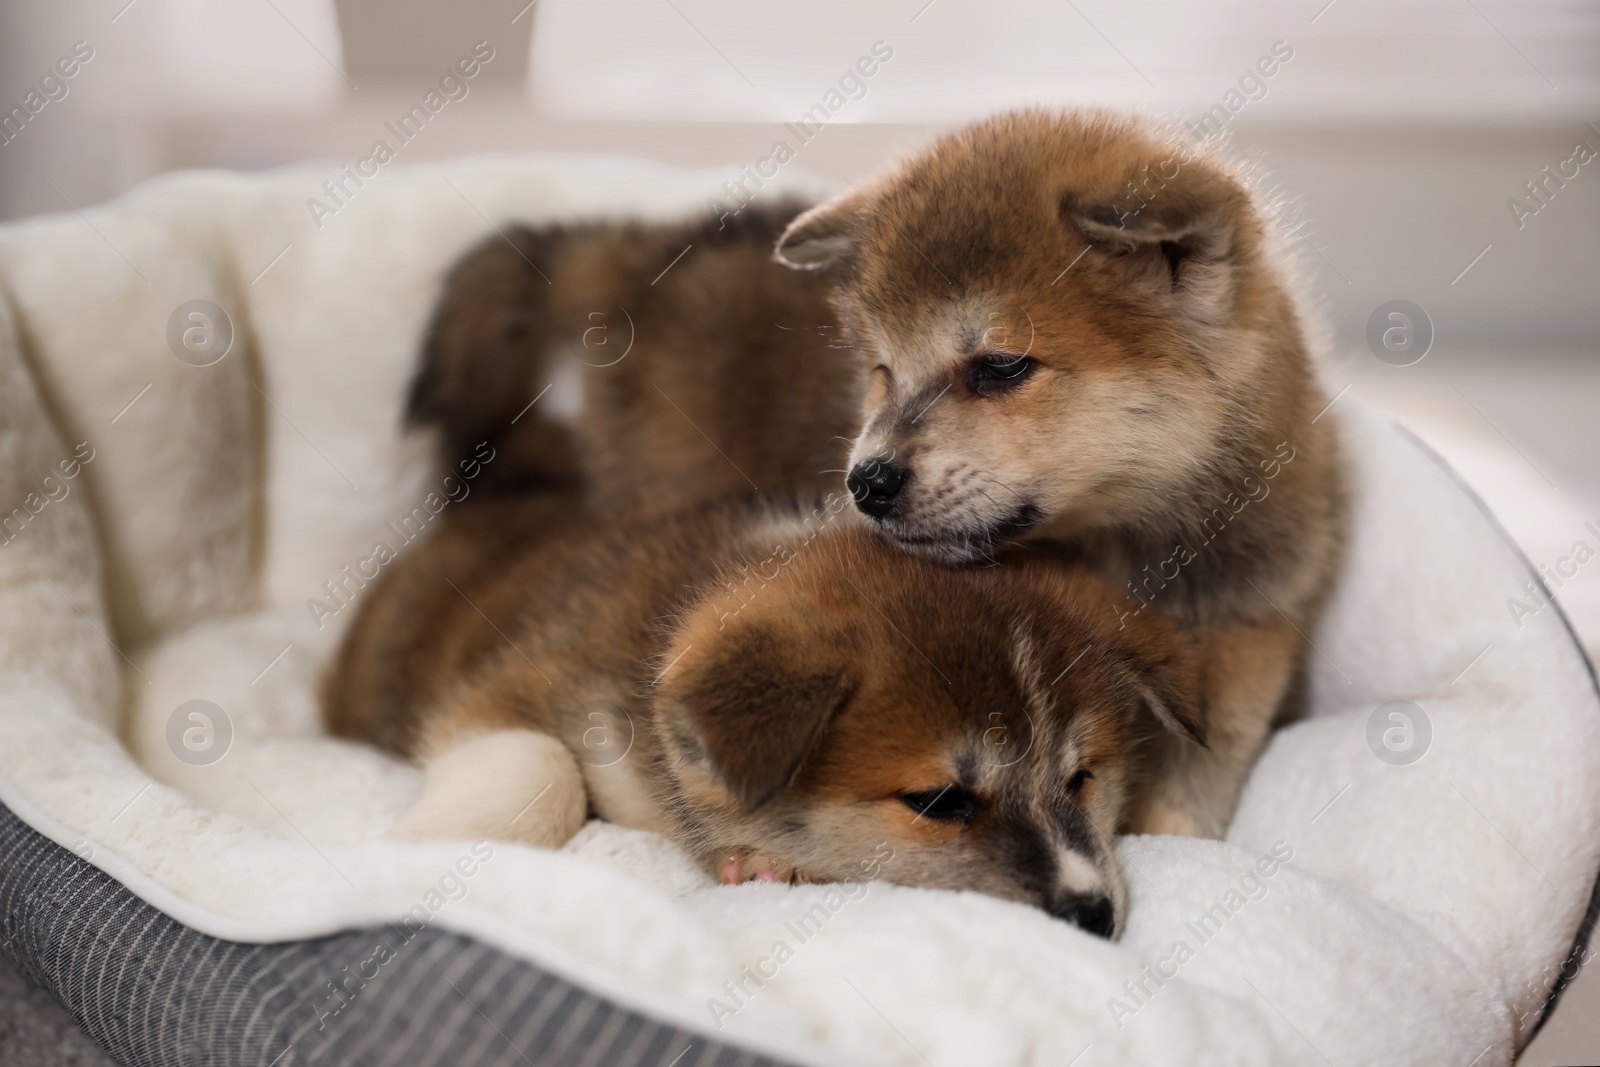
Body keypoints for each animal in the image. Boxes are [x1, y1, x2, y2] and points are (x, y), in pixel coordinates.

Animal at [324, 492, 1203, 934]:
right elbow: (542, 767)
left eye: (1081, 777)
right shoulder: (518, 687)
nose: (1092, 914)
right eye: (942, 801)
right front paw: (420, 846)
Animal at [416, 110, 1350, 844]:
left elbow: (1185, 810)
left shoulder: (1240, 640)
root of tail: (644, 251)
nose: (865, 482)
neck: (1118, 541)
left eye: (1001, 365)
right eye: (880, 371)